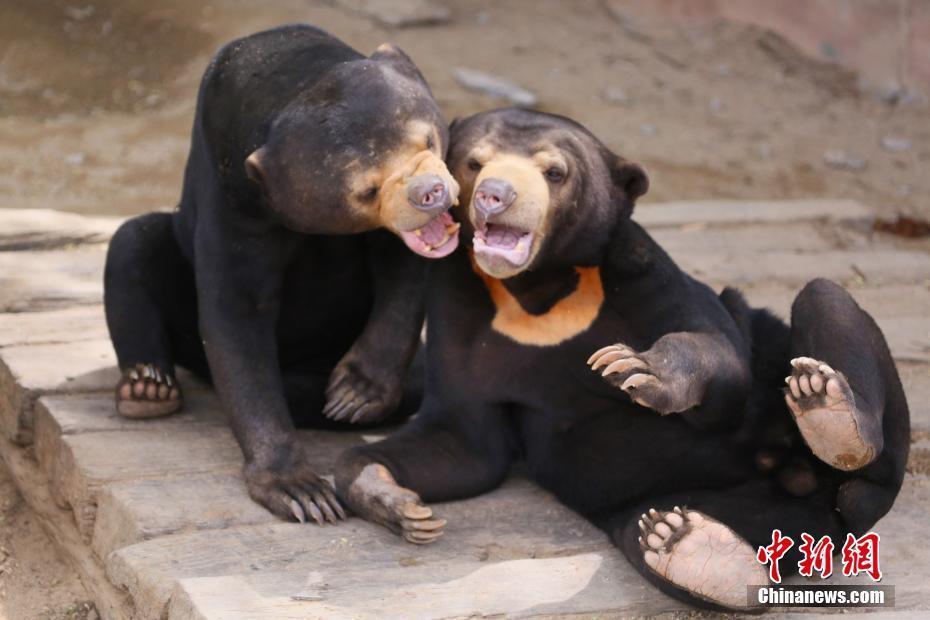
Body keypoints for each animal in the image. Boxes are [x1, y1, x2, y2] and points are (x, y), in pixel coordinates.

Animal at [104, 26, 460, 524]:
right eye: (366, 190)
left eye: (427, 141)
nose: (431, 194)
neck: (292, 74)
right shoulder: (235, 199)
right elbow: (236, 314)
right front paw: (300, 491)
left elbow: (404, 269)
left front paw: (356, 393)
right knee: (133, 240)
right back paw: (146, 388)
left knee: (416, 380)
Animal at [334, 106, 908, 612]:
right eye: (474, 162)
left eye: (555, 172)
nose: (497, 196)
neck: (538, 290)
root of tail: (822, 505)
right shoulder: (458, 301)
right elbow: (465, 439)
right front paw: (392, 498)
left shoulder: (638, 268)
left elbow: (722, 356)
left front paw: (636, 369)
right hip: (703, 500)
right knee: (653, 532)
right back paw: (690, 548)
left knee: (824, 299)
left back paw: (830, 414)